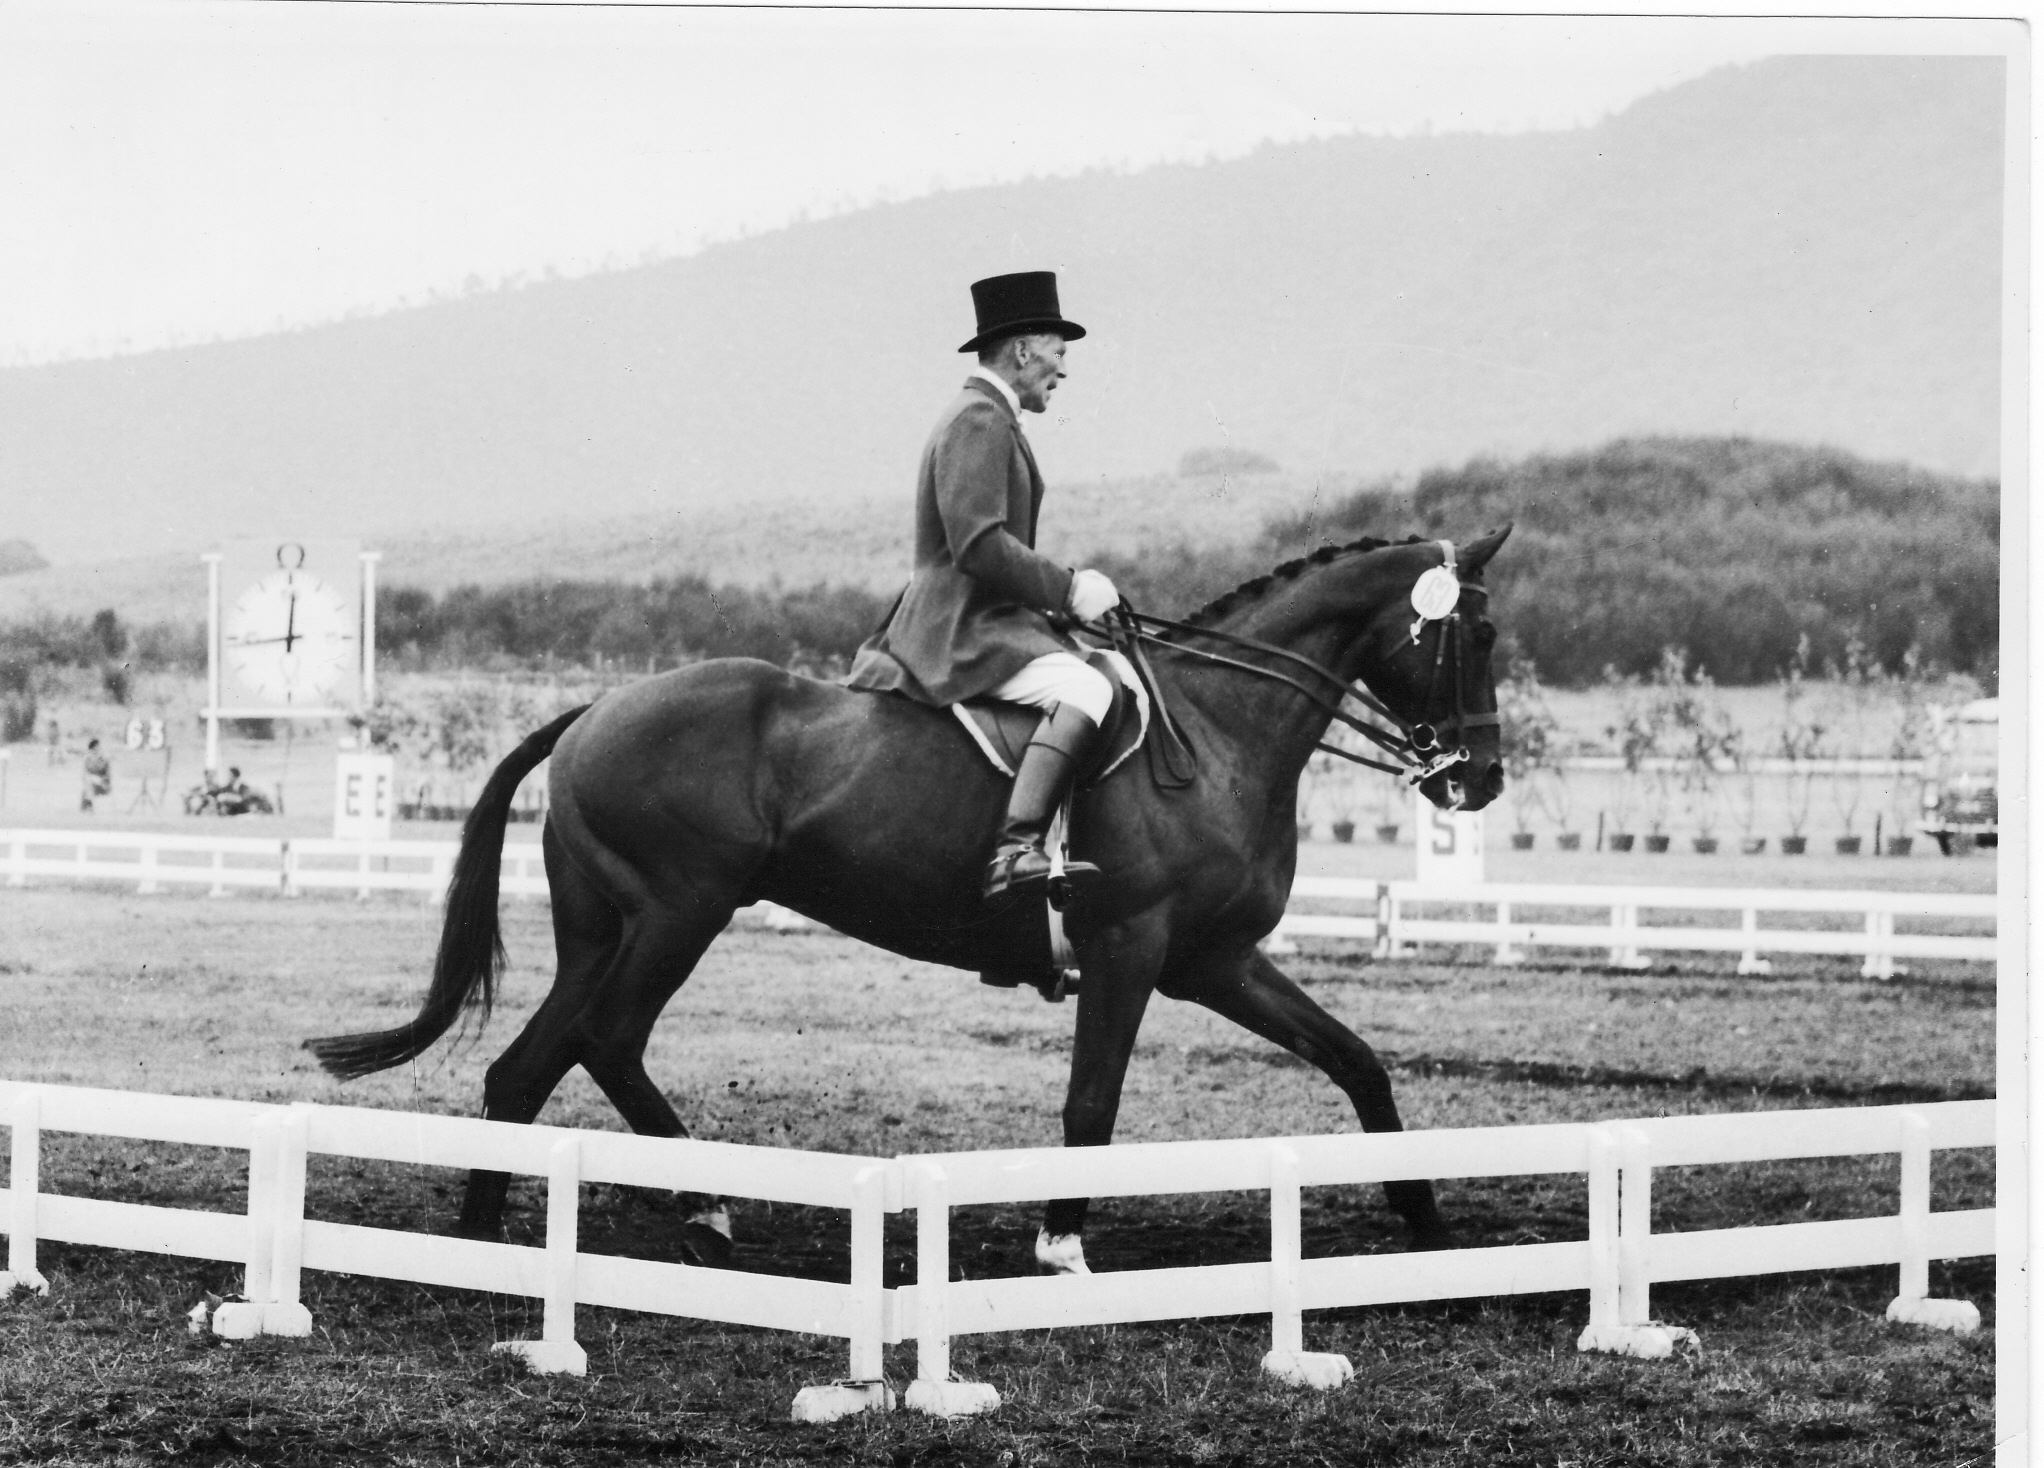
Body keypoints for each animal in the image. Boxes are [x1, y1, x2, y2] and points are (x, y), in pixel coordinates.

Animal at [306, 527, 1520, 1275]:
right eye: (1479, 633)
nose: (1479, 781)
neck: (1218, 731)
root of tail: (596, 708)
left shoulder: (1216, 960)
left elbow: (1357, 1060)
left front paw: (1424, 1220)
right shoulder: (1129, 949)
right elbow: (1092, 1104)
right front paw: (1061, 1249)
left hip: (604, 929)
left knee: (526, 1068)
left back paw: (483, 1240)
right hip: (679, 912)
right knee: (604, 1040)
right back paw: (702, 1205)